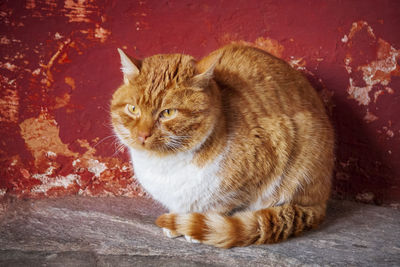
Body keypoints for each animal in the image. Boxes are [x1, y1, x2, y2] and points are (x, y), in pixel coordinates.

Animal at [110, 44, 334, 249]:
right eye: (133, 109)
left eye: (167, 113)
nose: (142, 135)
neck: (164, 164)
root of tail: (322, 202)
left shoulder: (260, 166)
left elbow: (218, 206)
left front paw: (196, 226)